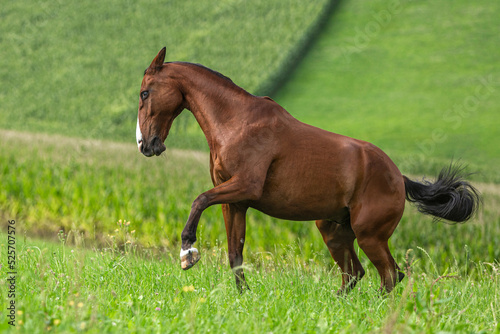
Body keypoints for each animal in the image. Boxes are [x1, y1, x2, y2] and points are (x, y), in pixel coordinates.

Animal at [135, 48, 478, 294]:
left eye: (144, 93)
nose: (145, 144)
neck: (237, 122)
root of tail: (400, 178)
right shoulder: (236, 203)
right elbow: (235, 253)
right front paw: (244, 296)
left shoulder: (245, 186)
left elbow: (200, 200)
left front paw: (188, 252)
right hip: (333, 231)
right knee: (356, 274)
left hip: (370, 235)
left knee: (391, 275)